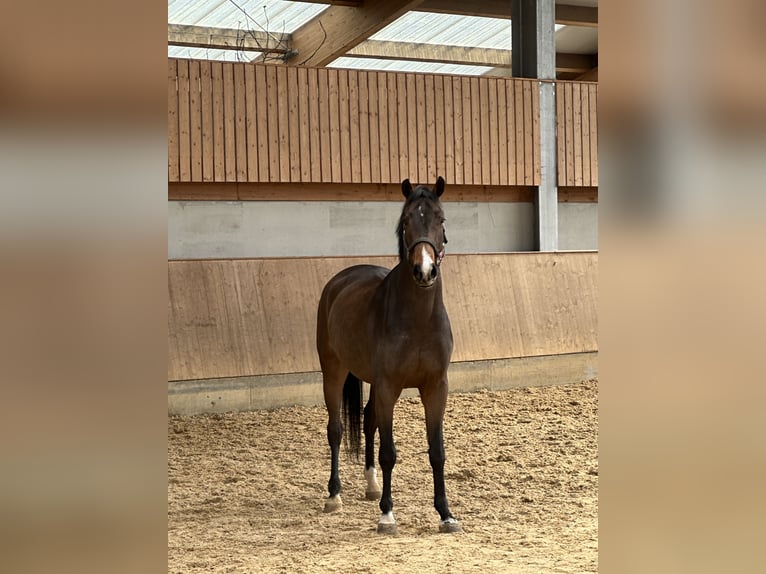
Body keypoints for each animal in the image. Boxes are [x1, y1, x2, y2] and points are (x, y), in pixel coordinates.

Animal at [316, 176, 461, 535]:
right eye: (406, 221)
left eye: (441, 219)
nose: (425, 271)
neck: (418, 319)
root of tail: (339, 280)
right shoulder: (389, 387)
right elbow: (389, 453)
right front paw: (387, 515)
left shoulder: (435, 387)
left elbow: (437, 451)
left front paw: (445, 513)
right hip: (333, 372)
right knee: (336, 429)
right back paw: (334, 495)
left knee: (368, 421)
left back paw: (371, 486)